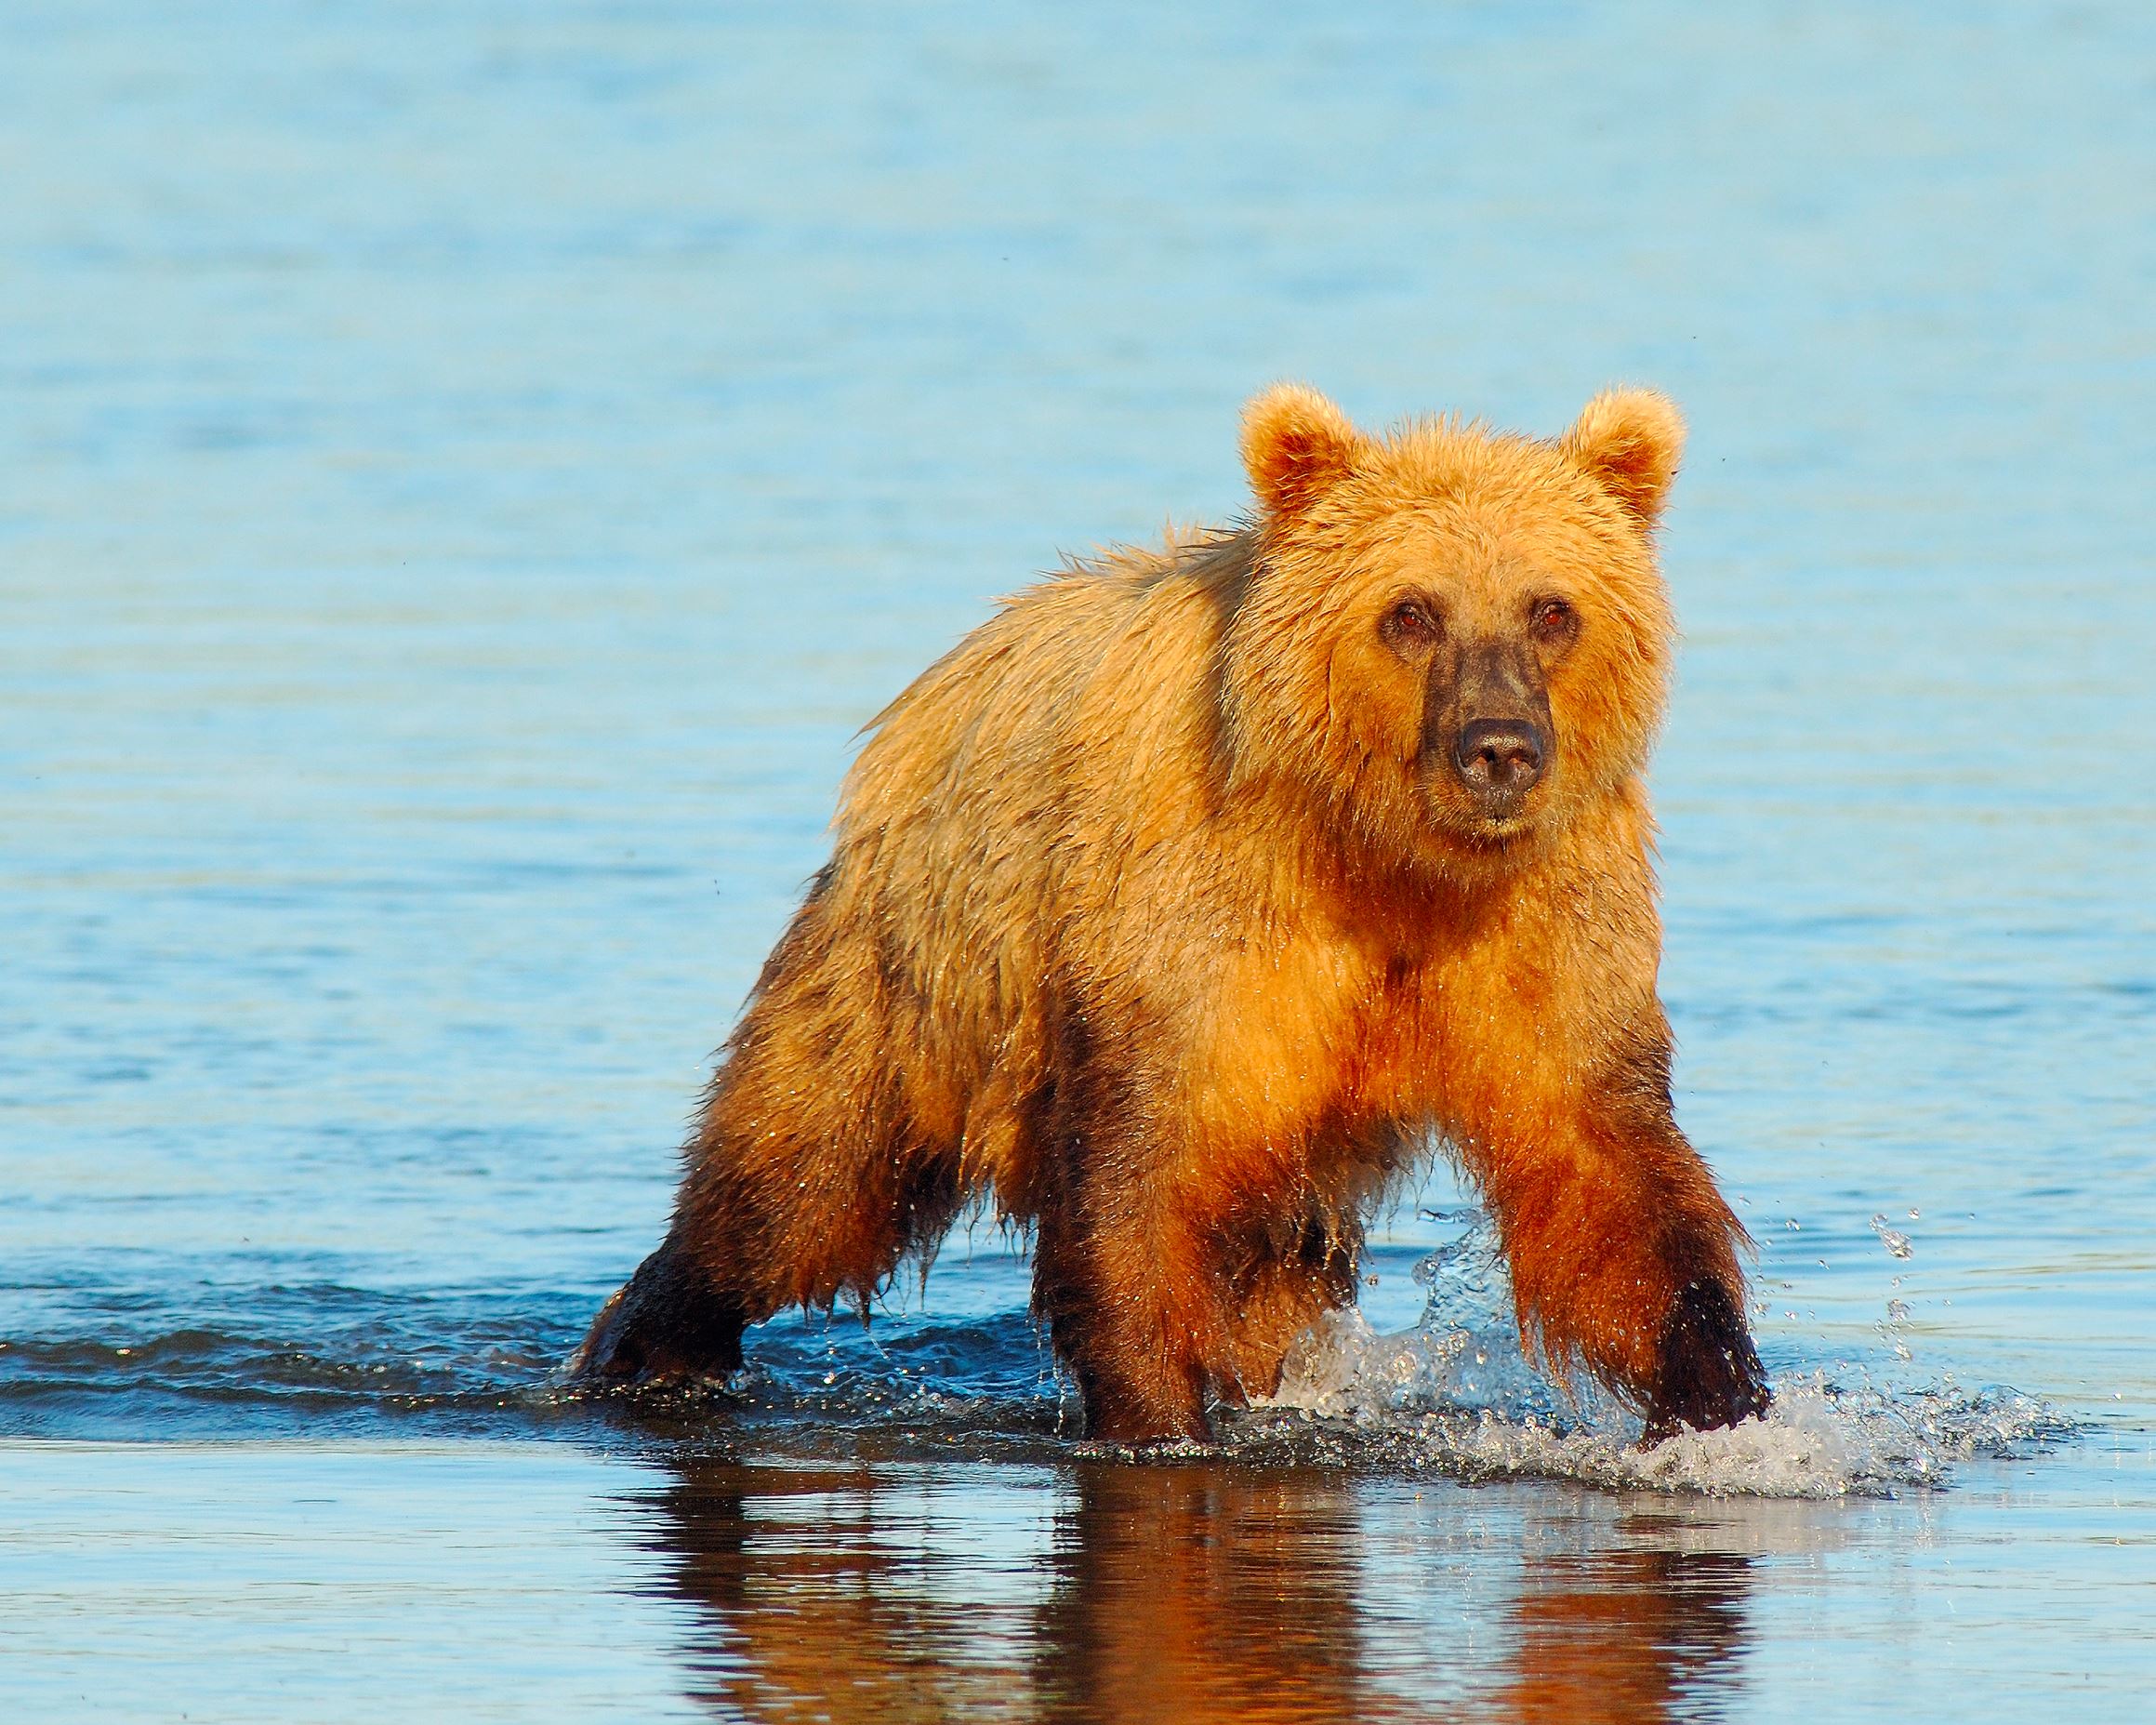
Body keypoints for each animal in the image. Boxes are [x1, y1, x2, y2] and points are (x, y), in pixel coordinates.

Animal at [571, 383, 1770, 1445]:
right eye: (1413, 612)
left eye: (1551, 609)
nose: (1500, 749)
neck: (1384, 860)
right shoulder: (1197, 934)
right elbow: (1141, 1178)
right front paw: (1157, 1419)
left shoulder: (1539, 929)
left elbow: (1608, 1174)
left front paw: (1723, 1396)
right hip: (917, 964)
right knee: (802, 1173)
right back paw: (648, 1345)